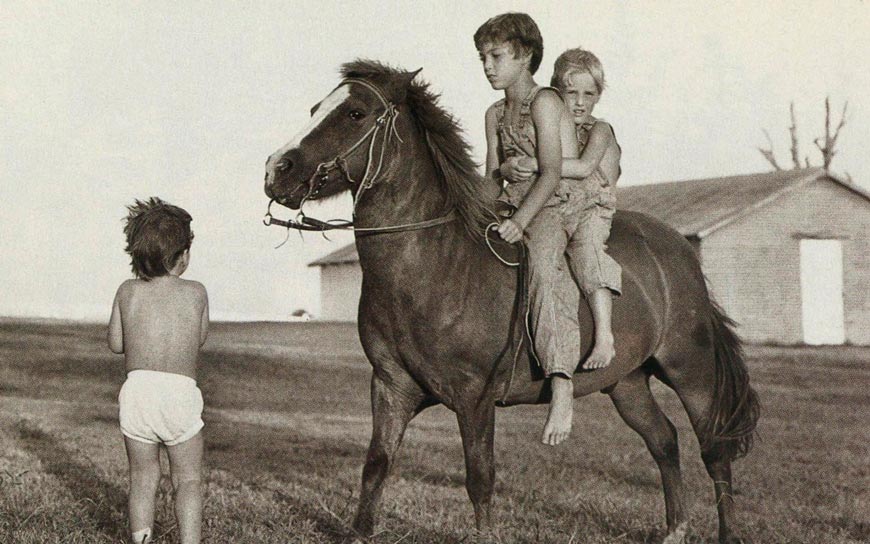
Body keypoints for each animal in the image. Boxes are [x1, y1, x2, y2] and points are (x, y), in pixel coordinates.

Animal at [262, 60, 760, 544]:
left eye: (355, 113)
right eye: (315, 109)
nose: (275, 169)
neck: (437, 265)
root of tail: (678, 250)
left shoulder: (475, 397)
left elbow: (480, 479)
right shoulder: (390, 387)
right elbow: (376, 466)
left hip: (690, 368)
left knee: (713, 449)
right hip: (627, 381)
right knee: (664, 440)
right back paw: (674, 528)